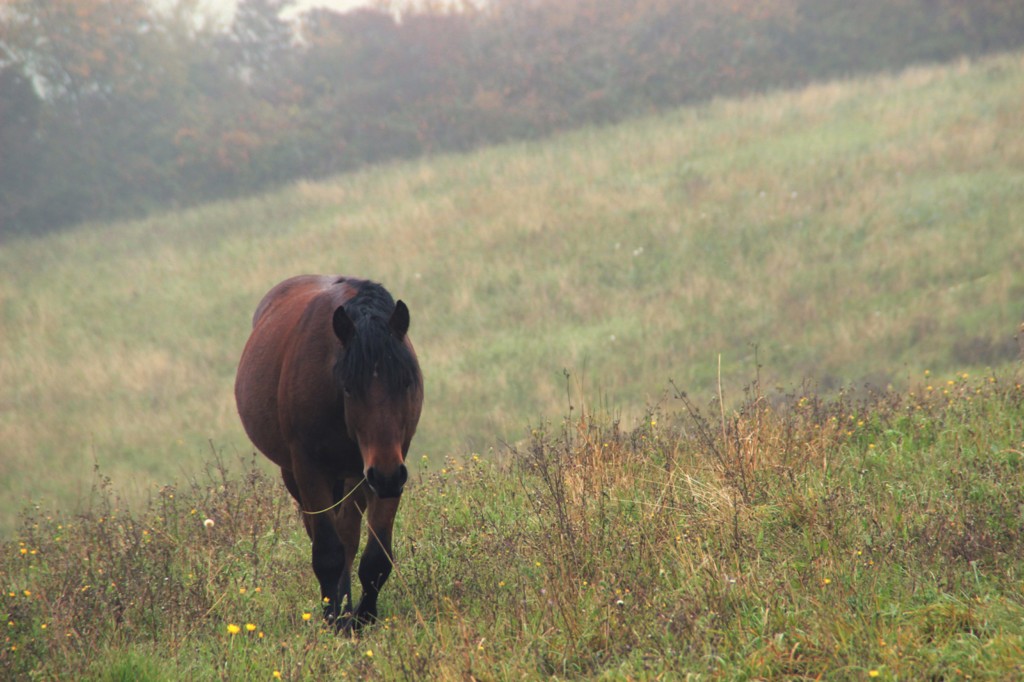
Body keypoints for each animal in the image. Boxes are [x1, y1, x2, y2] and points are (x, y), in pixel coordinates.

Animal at [234, 275, 423, 630]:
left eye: (406, 383)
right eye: (348, 387)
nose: (386, 475)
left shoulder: (388, 467)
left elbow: (376, 557)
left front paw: (364, 617)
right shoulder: (310, 469)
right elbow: (327, 552)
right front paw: (333, 618)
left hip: (356, 477)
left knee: (348, 533)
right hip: (300, 475)